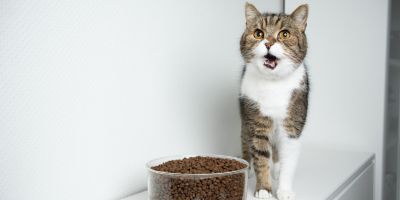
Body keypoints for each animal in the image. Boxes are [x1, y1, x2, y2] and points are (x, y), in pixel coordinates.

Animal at [239, 2, 308, 200]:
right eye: (258, 33)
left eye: (284, 34)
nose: (268, 43)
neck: (273, 83)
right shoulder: (257, 122)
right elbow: (261, 157)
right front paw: (263, 189)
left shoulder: (292, 126)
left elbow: (289, 160)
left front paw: (284, 190)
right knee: (245, 139)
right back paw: (248, 165)